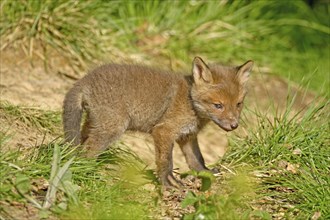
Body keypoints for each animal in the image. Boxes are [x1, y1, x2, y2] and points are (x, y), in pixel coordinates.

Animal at [62, 56, 253, 186]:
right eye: (218, 105)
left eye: (238, 104)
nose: (234, 125)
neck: (190, 101)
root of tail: (85, 78)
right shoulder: (164, 130)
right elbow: (166, 161)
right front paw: (168, 182)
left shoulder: (187, 136)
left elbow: (197, 160)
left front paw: (207, 173)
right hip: (112, 129)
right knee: (87, 152)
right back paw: (89, 173)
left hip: (94, 124)